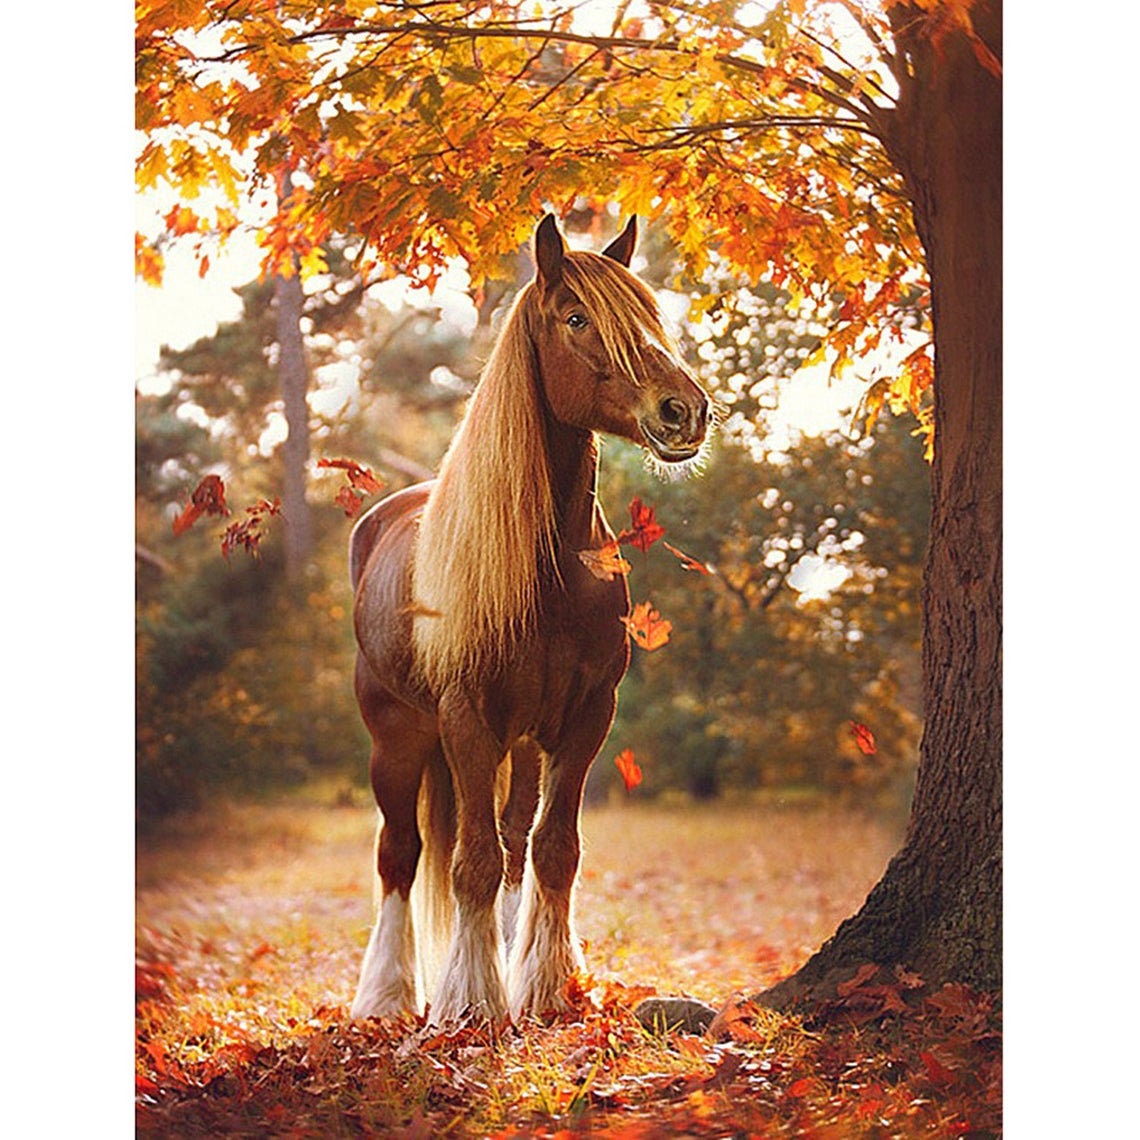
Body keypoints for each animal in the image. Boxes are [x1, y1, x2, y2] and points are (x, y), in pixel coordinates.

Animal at [348, 213, 711, 1024]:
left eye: (650, 314)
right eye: (576, 318)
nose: (684, 411)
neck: (550, 571)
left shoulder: (584, 717)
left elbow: (552, 849)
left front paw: (543, 986)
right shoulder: (465, 717)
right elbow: (472, 861)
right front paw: (471, 1003)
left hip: (517, 742)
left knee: (514, 842)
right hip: (398, 737)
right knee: (399, 854)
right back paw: (385, 996)